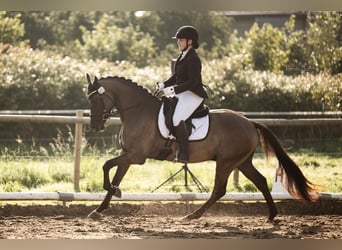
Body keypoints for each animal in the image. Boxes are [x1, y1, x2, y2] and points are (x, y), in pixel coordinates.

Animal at [85, 73, 318, 221]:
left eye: (96, 100)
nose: (95, 126)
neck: (138, 110)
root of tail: (249, 122)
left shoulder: (136, 156)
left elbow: (106, 166)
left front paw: (114, 192)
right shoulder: (128, 155)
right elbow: (115, 174)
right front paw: (101, 207)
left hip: (226, 162)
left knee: (219, 190)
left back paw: (192, 215)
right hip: (242, 162)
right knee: (259, 181)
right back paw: (271, 215)